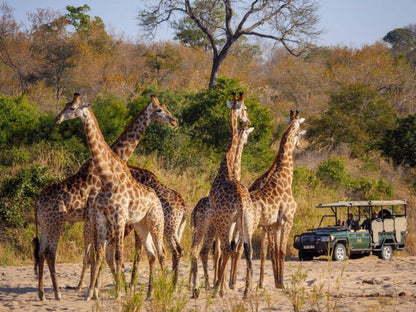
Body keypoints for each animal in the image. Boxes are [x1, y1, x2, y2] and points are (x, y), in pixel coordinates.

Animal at [33, 93, 176, 300]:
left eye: (71, 107)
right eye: (159, 110)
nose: (174, 120)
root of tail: (36, 202)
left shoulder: (96, 218)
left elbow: (97, 254)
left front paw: (96, 290)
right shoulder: (94, 217)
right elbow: (97, 254)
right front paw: (94, 290)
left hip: (47, 223)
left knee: (42, 253)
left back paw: (44, 292)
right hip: (55, 222)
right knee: (49, 253)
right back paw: (56, 292)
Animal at [189, 92, 254, 298]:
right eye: (245, 108)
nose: (248, 121)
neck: (226, 169)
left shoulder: (225, 222)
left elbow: (225, 251)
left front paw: (222, 286)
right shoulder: (232, 223)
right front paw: (224, 285)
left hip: (220, 223)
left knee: (217, 250)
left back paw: (210, 288)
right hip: (242, 222)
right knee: (240, 250)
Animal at [249, 111, 304, 288]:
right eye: (299, 131)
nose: (298, 145)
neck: (285, 177)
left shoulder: (275, 224)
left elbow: (274, 251)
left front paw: (277, 281)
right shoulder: (287, 220)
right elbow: (281, 251)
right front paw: (281, 283)